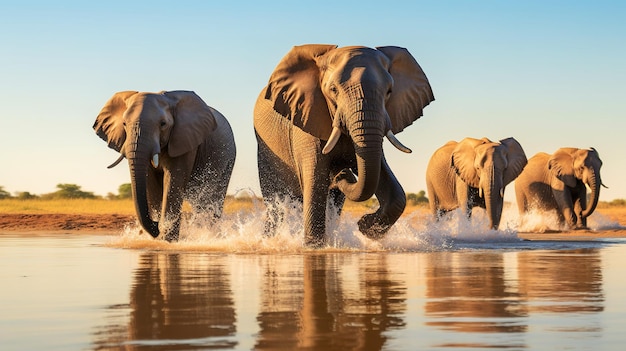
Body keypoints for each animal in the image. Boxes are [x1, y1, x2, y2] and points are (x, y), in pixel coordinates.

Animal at [93, 90, 236, 242]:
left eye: (163, 124)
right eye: (124, 124)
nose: (156, 226)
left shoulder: (184, 140)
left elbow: (172, 179)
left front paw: (167, 241)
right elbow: (150, 183)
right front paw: (157, 239)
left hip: (227, 159)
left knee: (209, 199)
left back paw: (209, 235)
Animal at [251, 44, 432, 248]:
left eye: (389, 91)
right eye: (333, 90)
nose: (341, 173)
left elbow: (389, 183)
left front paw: (366, 227)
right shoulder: (306, 121)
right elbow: (316, 183)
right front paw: (314, 247)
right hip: (265, 151)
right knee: (276, 202)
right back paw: (270, 239)